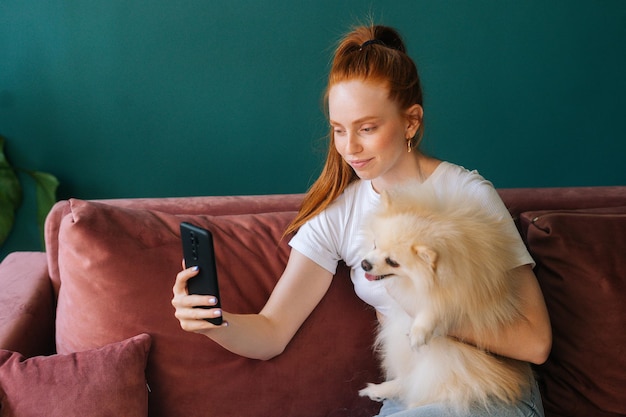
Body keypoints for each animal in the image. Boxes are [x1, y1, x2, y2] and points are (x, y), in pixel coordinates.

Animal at [358, 183, 528, 412]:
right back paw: (379, 390)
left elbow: (435, 308)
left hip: (450, 363)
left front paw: (419, 331)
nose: (364, 264)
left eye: (393, 262)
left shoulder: (462, 296)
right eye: (375, 244)